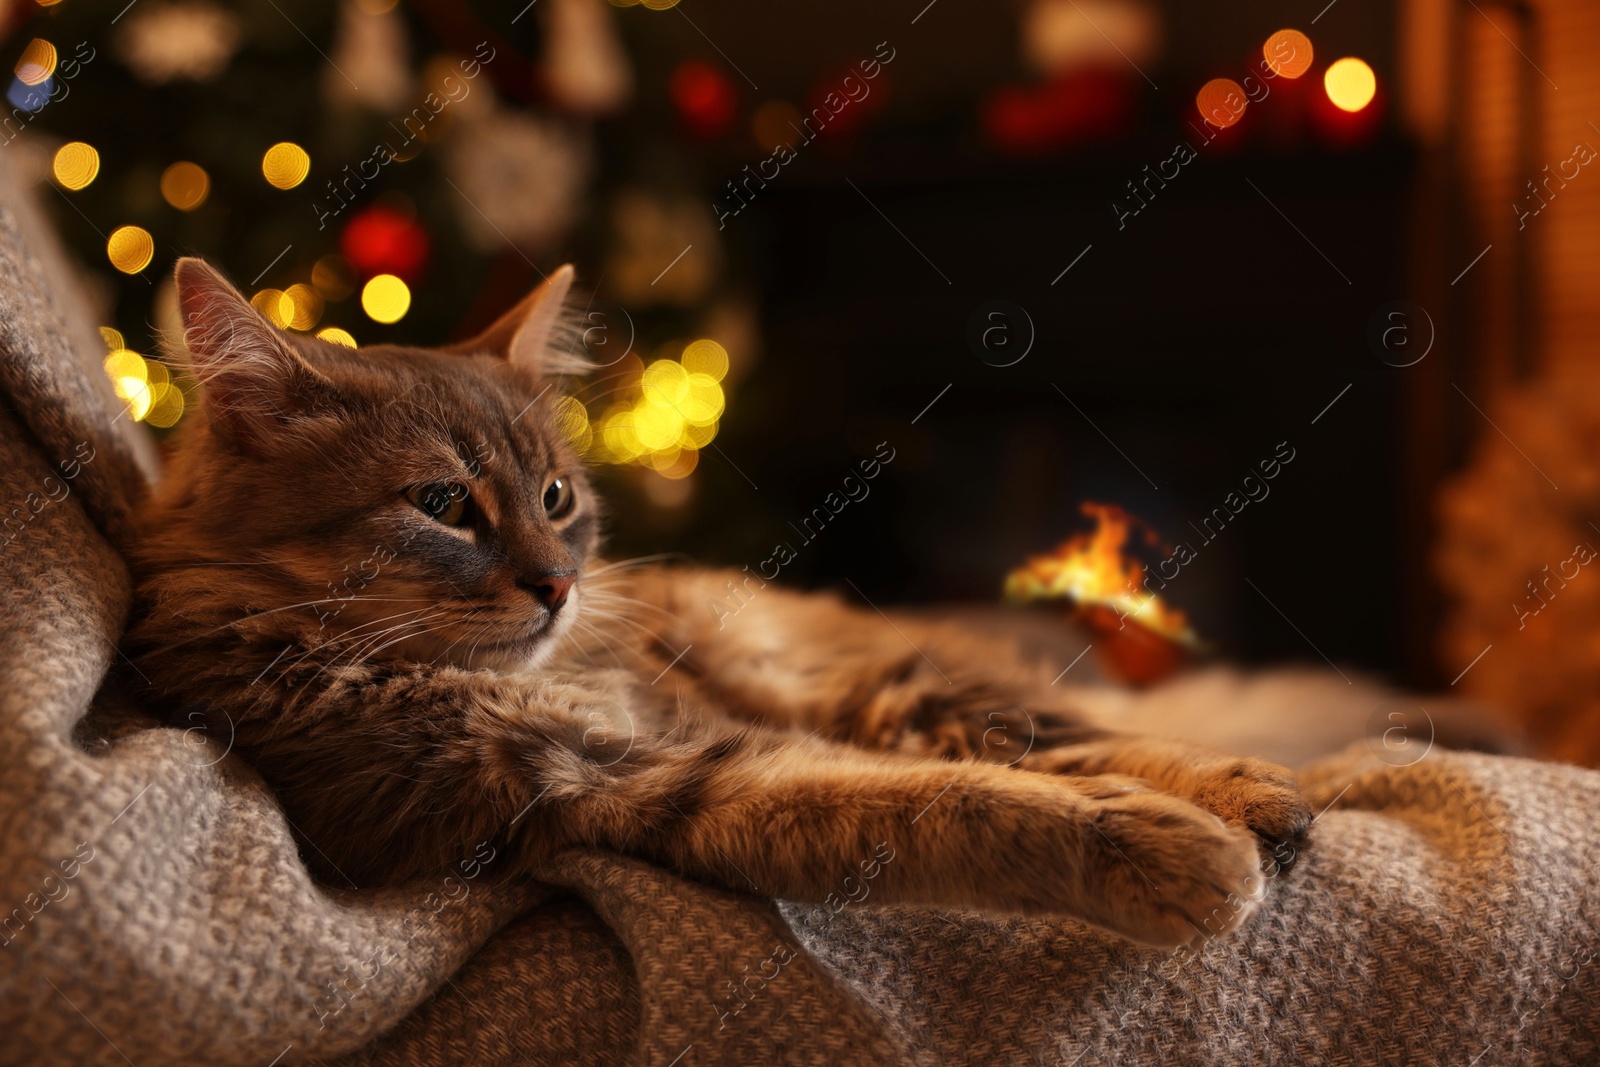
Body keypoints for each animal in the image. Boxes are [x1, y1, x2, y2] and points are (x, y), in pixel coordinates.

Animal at [128, 259, 1312, 953]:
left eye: (554, 497)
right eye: (441, 505)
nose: (557, 585)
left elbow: (989, 784)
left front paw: (1192, 827)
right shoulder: (640, 785)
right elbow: (953, 803)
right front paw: (1170, 850)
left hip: (867, 679)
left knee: (1077, 731)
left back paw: (1264, 792)